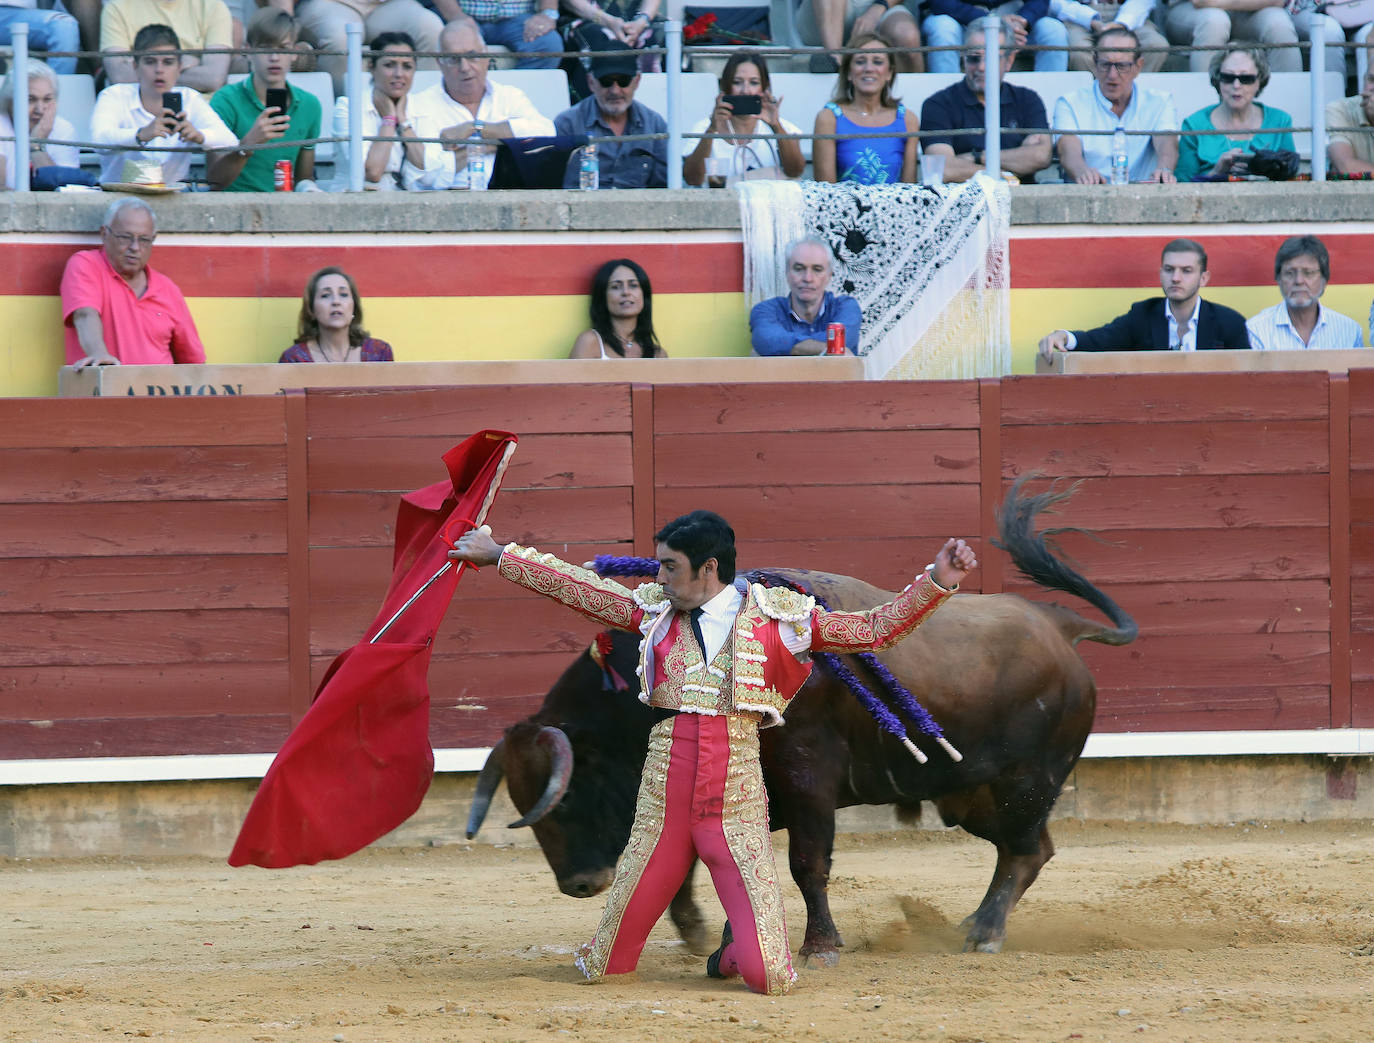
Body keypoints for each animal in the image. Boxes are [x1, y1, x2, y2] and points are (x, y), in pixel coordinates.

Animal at [467, 480, 1132, 961]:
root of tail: (1058, 625)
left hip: (1027, 781)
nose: (579, 884)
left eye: (570, 795)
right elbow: (698, 863)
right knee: (1032, 847)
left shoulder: (810, 778)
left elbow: (806, 865)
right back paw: (971, 924)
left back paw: (984, 934)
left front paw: (820, 945)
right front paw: (707, 937)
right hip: (971, 791)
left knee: (1023, 850)